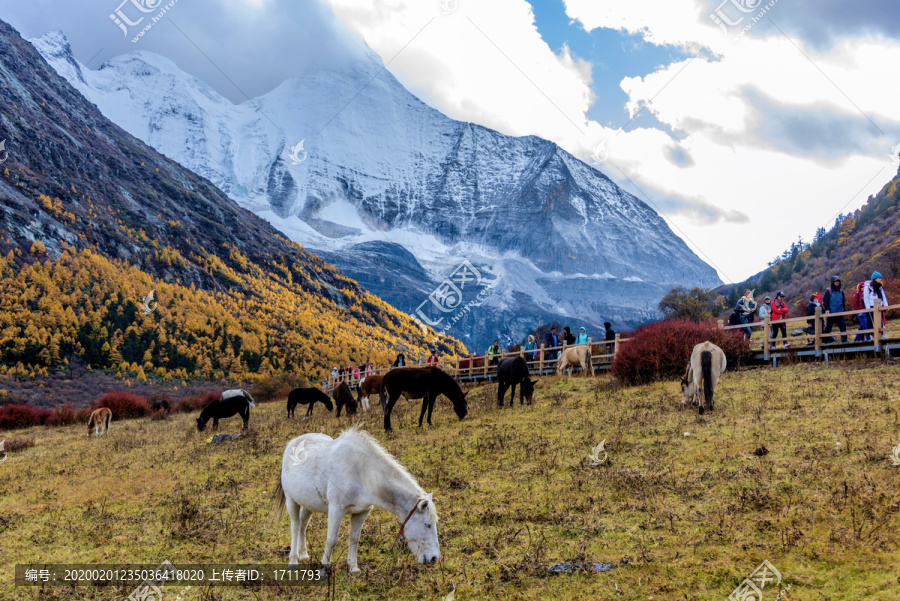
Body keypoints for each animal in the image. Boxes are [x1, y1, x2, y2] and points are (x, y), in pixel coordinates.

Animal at [272, 426, 442, 572]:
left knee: (303, 524)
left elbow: (354, 538)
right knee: (295, 527)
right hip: (291, 501)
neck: (362, 472)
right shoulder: (336, 509)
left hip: (309, 503)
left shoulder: (362, 512)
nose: (434, 558)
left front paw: (353, 567)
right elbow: (331, 540)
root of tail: (292, 443)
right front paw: (324, 569)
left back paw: (303, 554)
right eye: (427, 525)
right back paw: (293, 561)